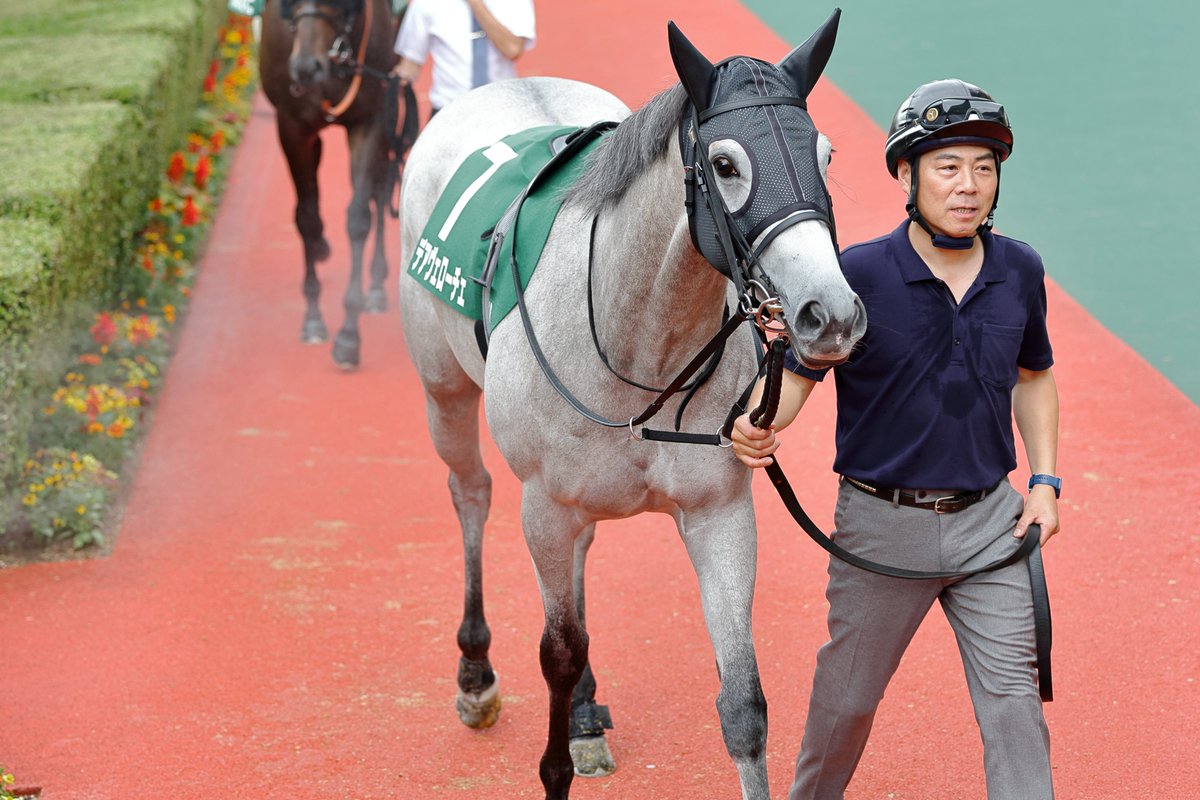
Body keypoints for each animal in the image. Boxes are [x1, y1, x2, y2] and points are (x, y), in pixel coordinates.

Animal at [259, 0, 415, 369]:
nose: (306, 67)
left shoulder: (371, 115)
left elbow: (358, 217)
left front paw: (348, 335)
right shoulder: (292, 125)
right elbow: (306, 216)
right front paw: (313, 316)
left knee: (378, 189)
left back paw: (376, 283)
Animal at [397, 11, 866, 799]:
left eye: (826, 155)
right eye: (728, 165)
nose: (828, 313)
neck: (639, 348)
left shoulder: (719, 510)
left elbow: (744, 704)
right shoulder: (544, 504)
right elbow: (556, 652)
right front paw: (557, 741)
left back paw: (585, 710)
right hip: (443, 391)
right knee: (471, 493)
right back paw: (476, 672)